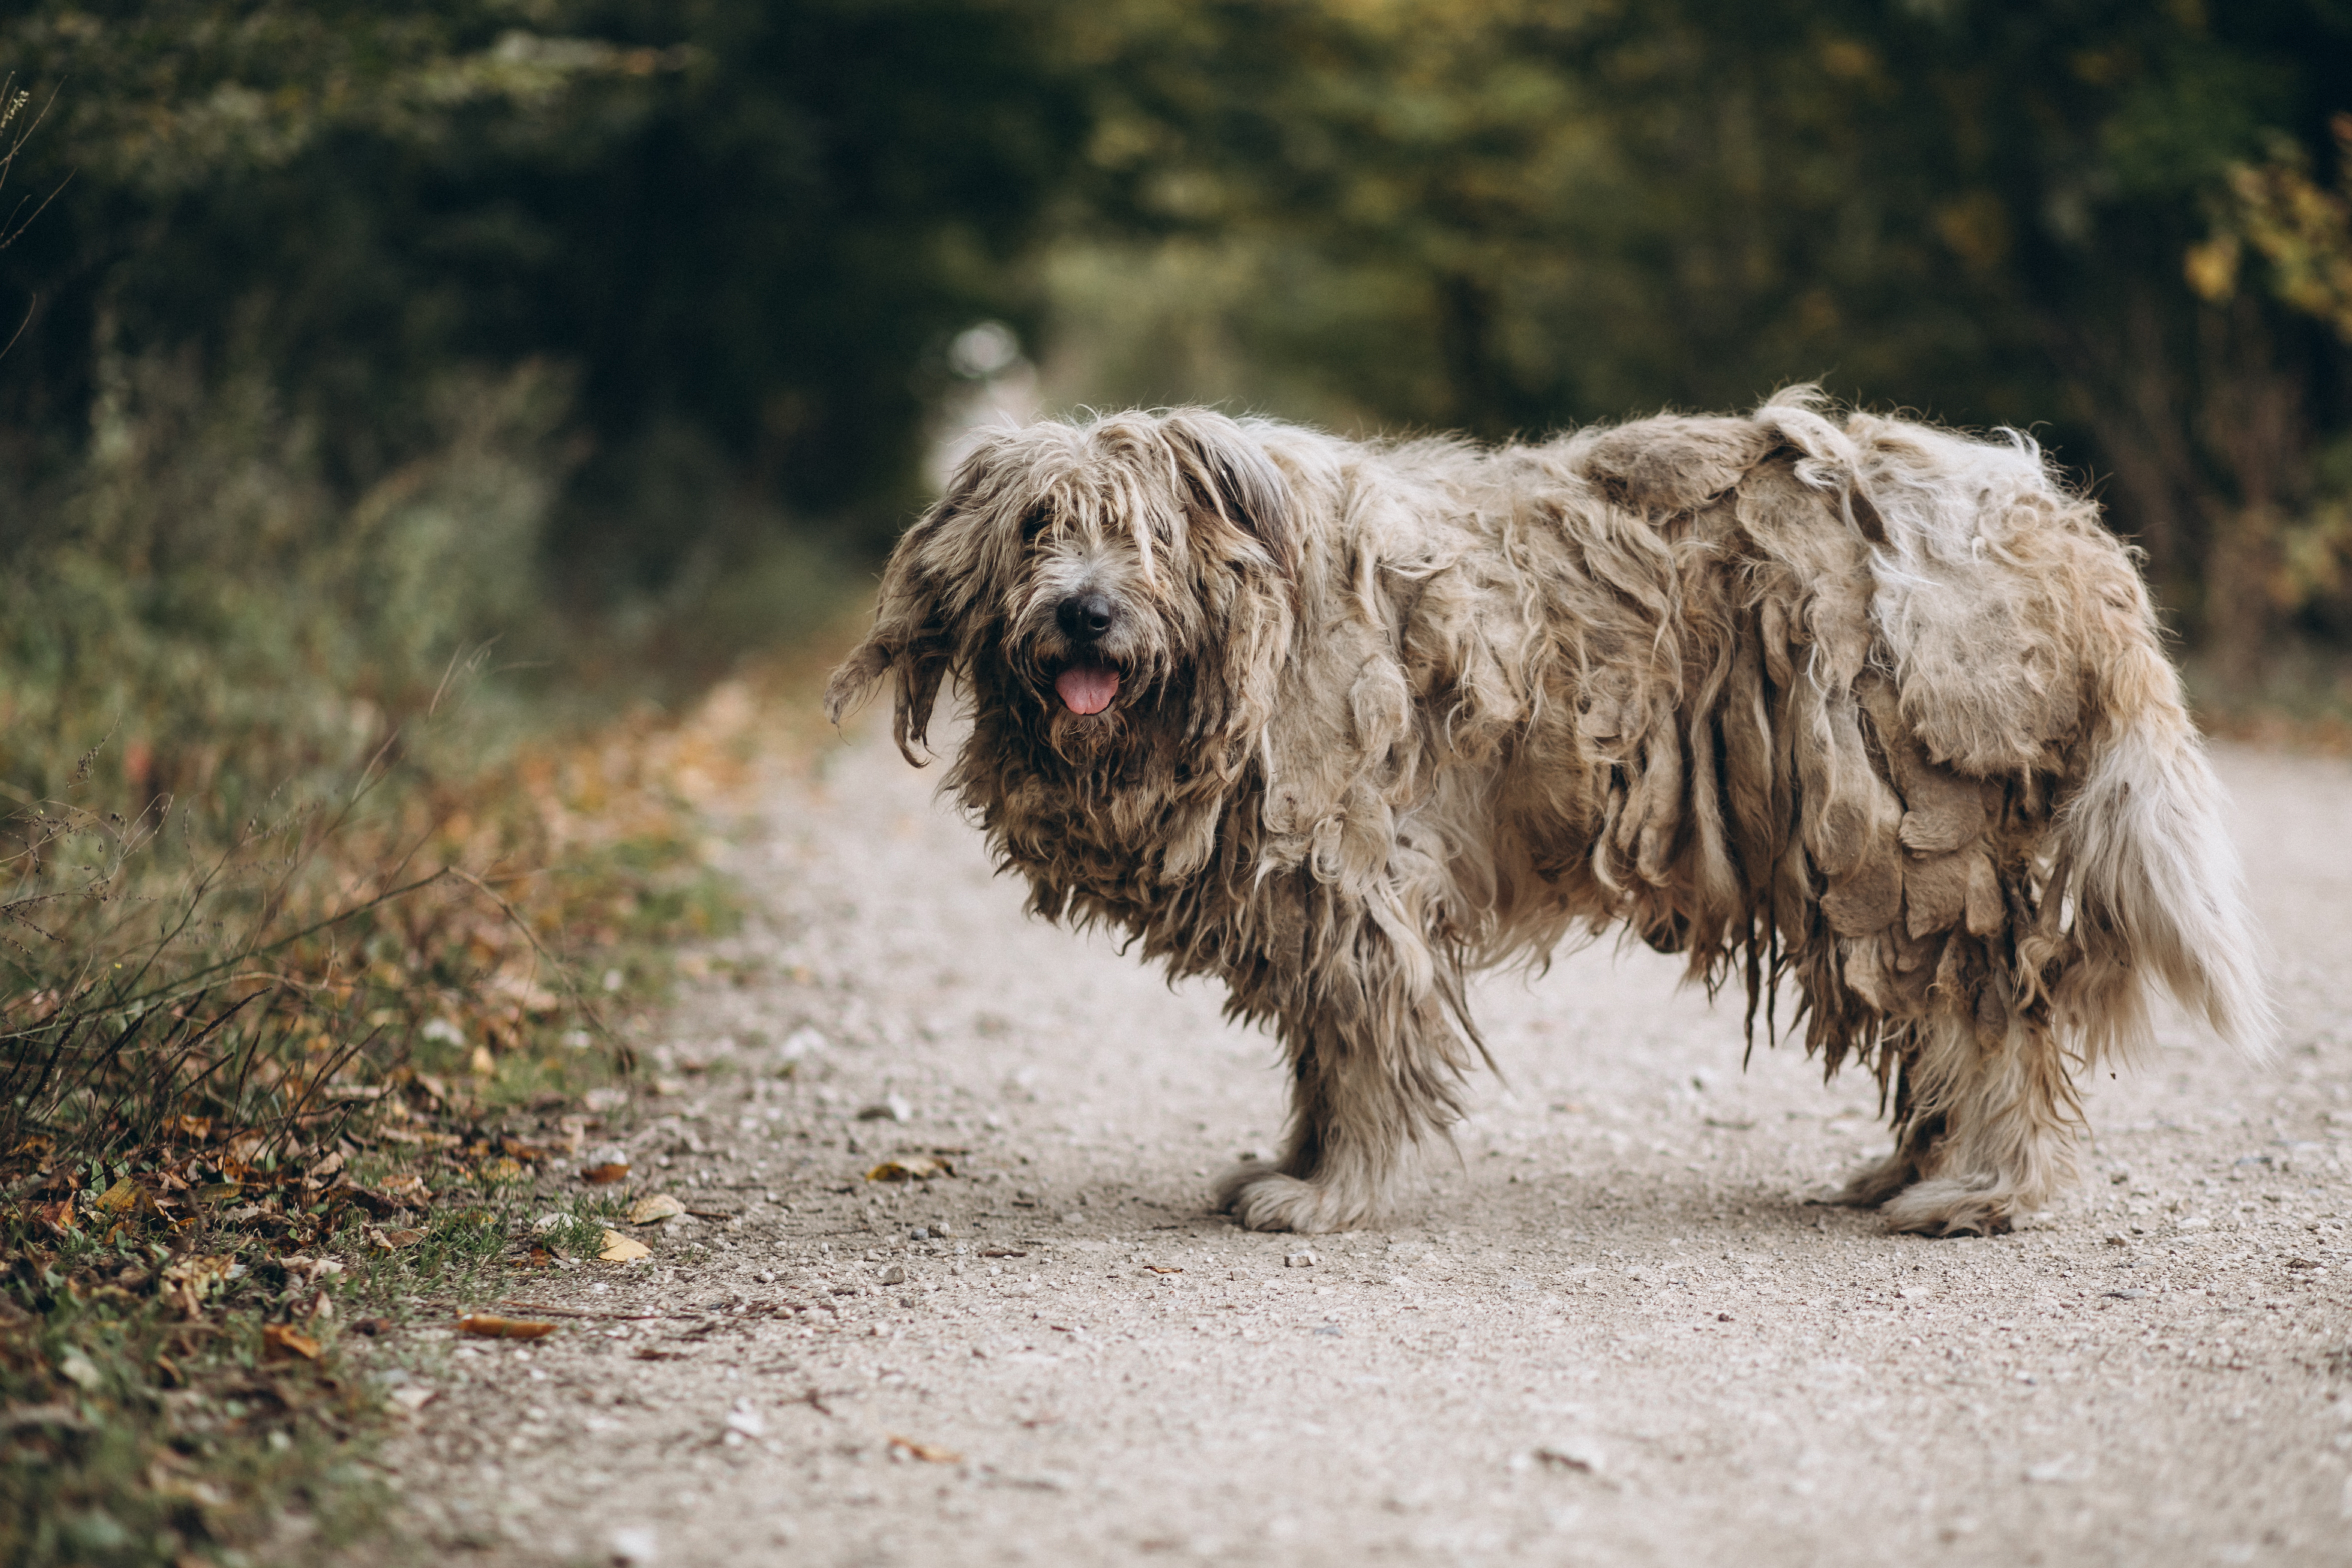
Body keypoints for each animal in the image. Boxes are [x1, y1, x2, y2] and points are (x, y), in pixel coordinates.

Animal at [832, 392, 2276, 1241]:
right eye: (1038, 528)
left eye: (1140, 536)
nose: (1082, 613)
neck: (1256, 624)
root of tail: (2062, 529)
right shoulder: (1314, 891)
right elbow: (1321, 1047)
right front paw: (1293, 1158)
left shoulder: (1353, 869)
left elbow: (1361, 1044)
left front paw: (1330, 1188)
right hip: (1869, 858)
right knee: (1937, 1024)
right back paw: (1906, 1168)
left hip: (1917, 831)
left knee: (1993, 1028)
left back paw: (1978, 1190)